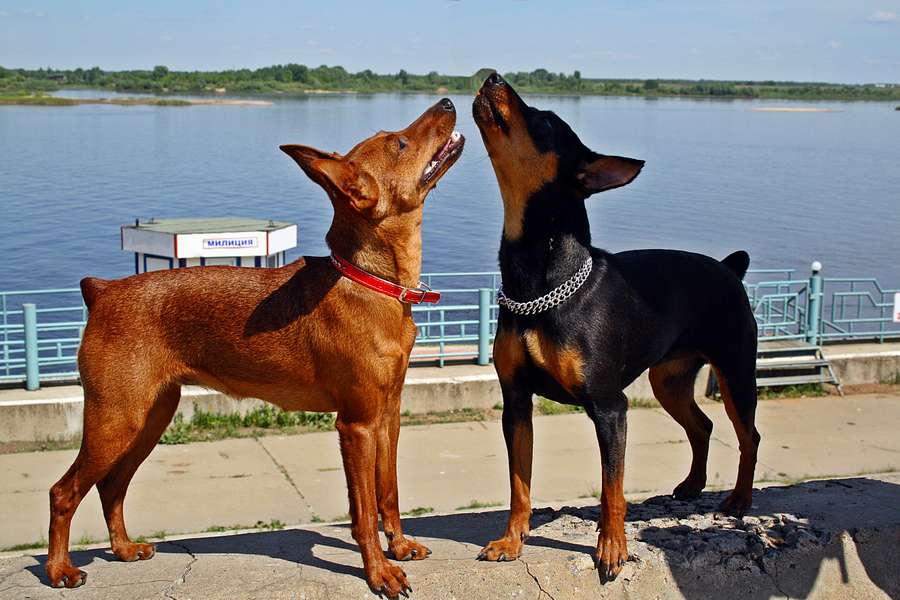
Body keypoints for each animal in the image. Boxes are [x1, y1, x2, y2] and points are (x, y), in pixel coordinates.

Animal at [44, 98, 464, 596]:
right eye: (400, 142)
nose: (448, 101)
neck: (371, 282)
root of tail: (103, 291)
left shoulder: (388, 417)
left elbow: (388, 492)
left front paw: (398, 547)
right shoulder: (357, 425)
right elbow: (363, 511)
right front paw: (379, 572)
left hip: (149, 417)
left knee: (112, 485)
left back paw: (125, 549)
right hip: (116, 419)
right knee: (64, 491)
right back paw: (59, 570)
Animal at [472, 72, 760, 580]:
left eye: (544, 123)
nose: (492, 77)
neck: (541, 282)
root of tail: (730, 268)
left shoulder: (609, 406)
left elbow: (612, 489)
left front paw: (611, 549)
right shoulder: (517, 402)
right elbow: (519, 483)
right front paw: (512, 541)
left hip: (736, 372)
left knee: (748, 437)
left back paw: (739, 499)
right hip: (670, 380)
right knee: (703, 425)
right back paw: (692, 484)